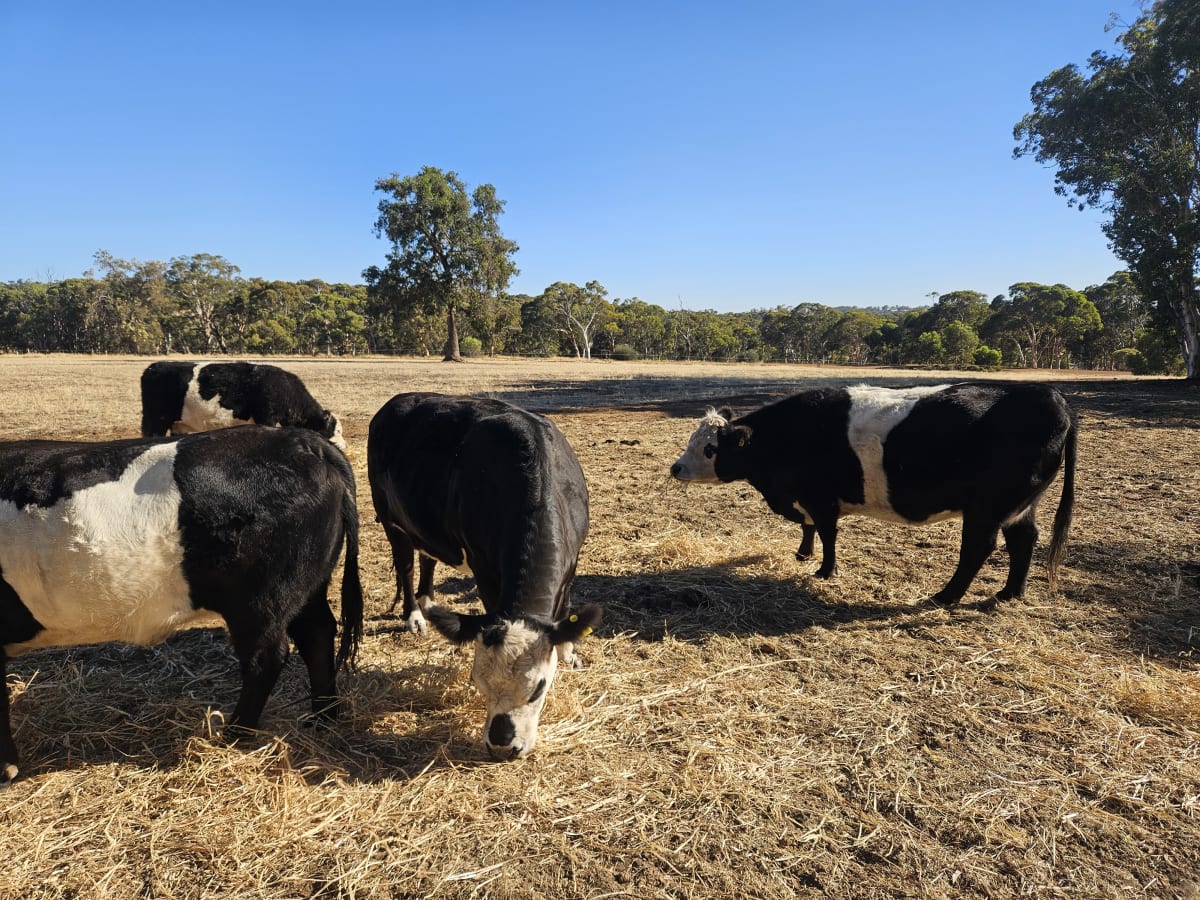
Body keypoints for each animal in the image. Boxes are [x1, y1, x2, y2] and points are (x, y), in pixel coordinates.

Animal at [0, 426, 363, 784]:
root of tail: (301, 441)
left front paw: (6, 767)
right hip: (306, 588)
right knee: (317, 633)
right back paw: (323, 717)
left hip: (261, 601)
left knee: (266, 657)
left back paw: (235, 734)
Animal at [140, 361, 347, 451]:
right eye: (336, 431)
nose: (344, 445)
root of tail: (152, 367)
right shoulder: (266, 416)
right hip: (156, 421)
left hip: (177, 424)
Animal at [367, 393, 600, 760]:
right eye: (477, 680)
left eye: (539, 688)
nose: (503, 747)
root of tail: (395, 402)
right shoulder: (485, 569)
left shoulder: (573, 563)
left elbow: (565, 614)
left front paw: (568, 654)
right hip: (391, 519)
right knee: (405, 565)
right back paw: (414, 616)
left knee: (428, 557)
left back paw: (428, 601)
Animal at [670, 382, 1077, 608]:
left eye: (710, 448)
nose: (675, 468)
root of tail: (1050, 395)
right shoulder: (805, 498)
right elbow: (807, 527)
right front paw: (803, 555)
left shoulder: (821, 498)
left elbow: (827, 532)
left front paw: (824, 571)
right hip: (1019, 505)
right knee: (1024, 539)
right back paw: (1009, 594)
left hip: (986, 508)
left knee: (979, 548)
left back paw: (945, 597)